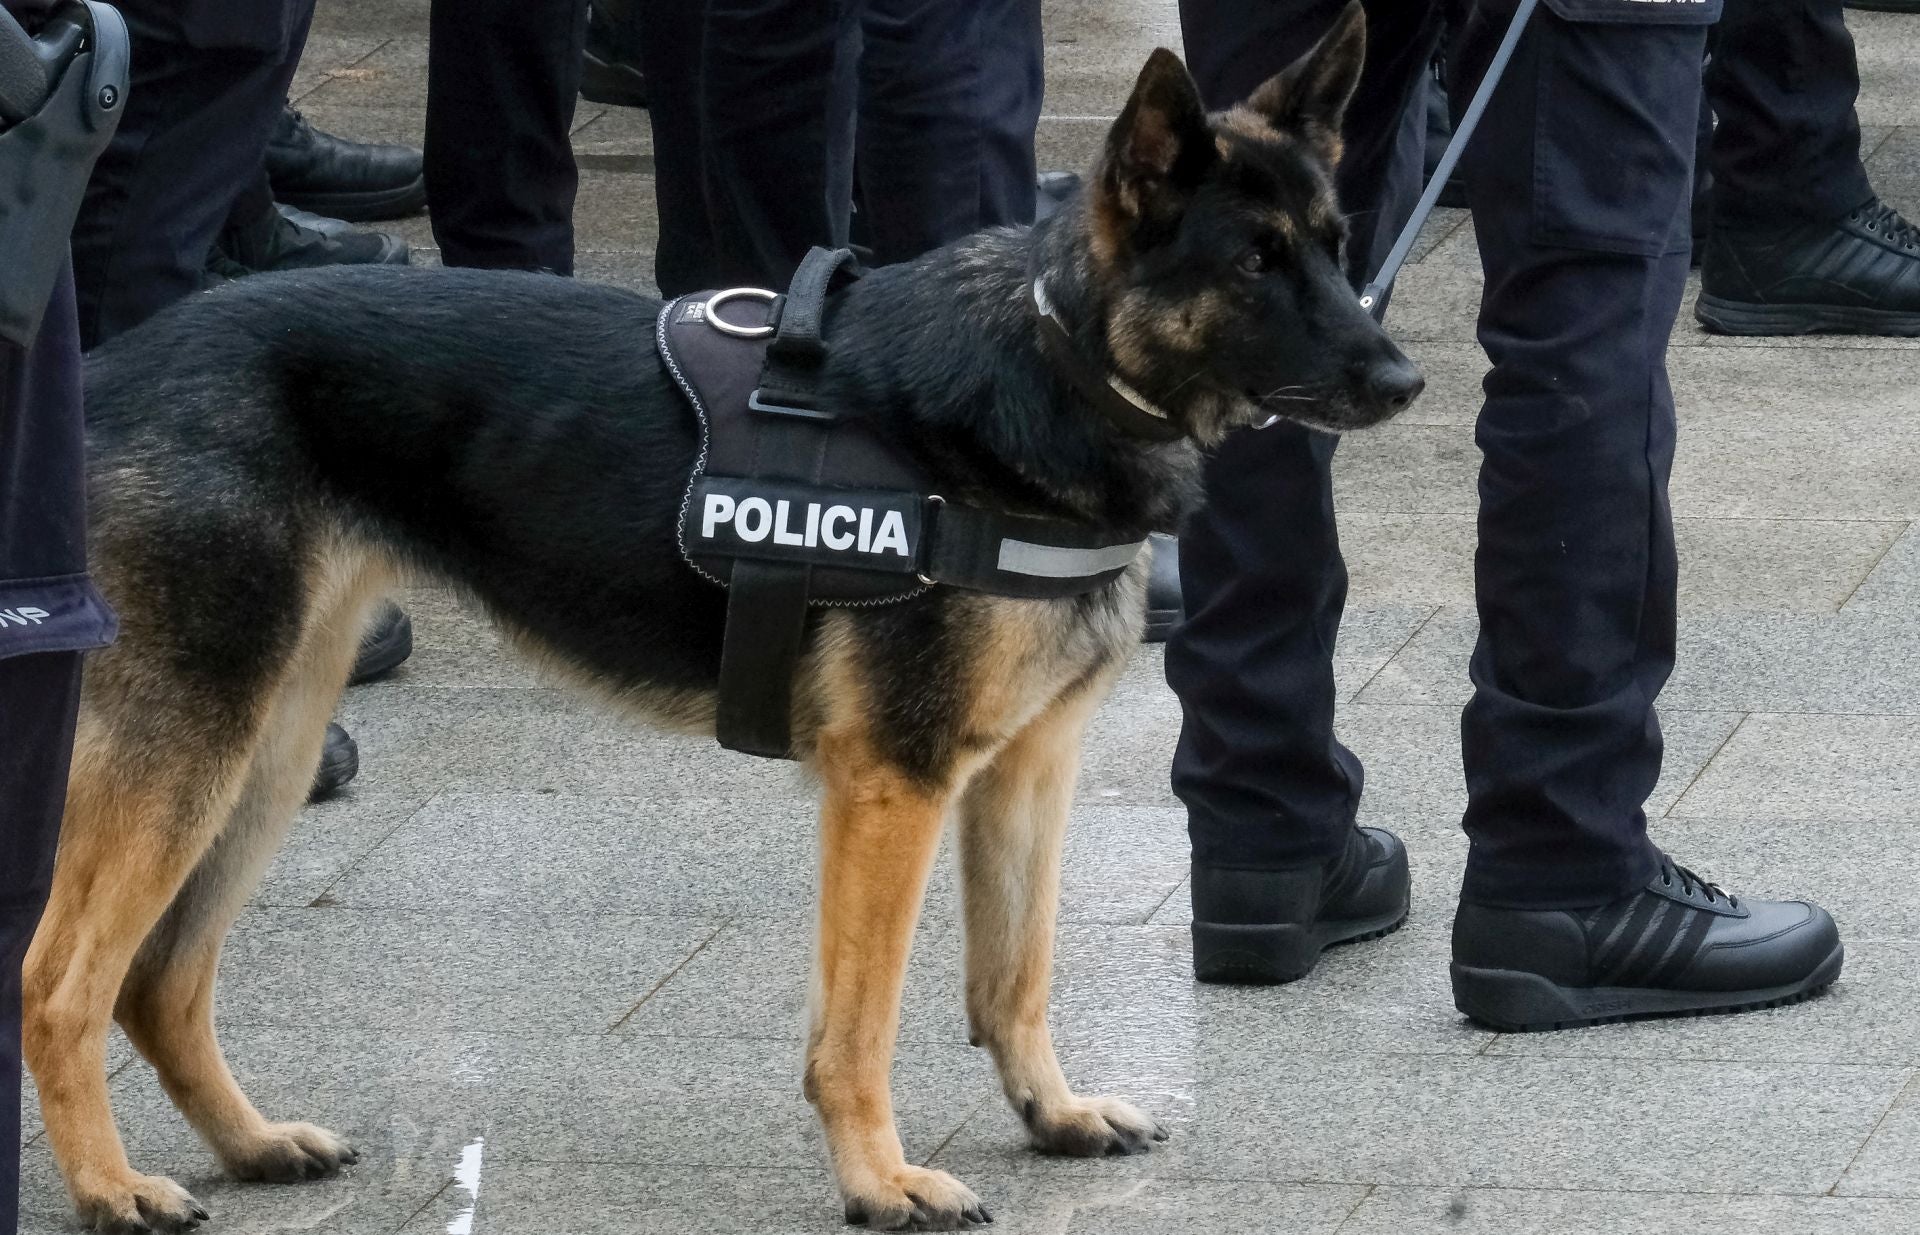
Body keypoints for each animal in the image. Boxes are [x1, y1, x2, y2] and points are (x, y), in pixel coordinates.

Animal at [22, 12, 1420, 1235]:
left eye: (1333, 244)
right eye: (1253, 265)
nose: (1405, 378)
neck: (1059, 361)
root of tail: (109, 365)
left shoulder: (1027, 768)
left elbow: (1015, 974)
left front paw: (1052, 1111)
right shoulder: (892, 787)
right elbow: (859, 1024)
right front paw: (880, 1180)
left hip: (267, 744)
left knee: (161, 980)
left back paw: (249, 1142)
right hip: (192, 747)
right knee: (59, 980)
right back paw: (109, 1187)